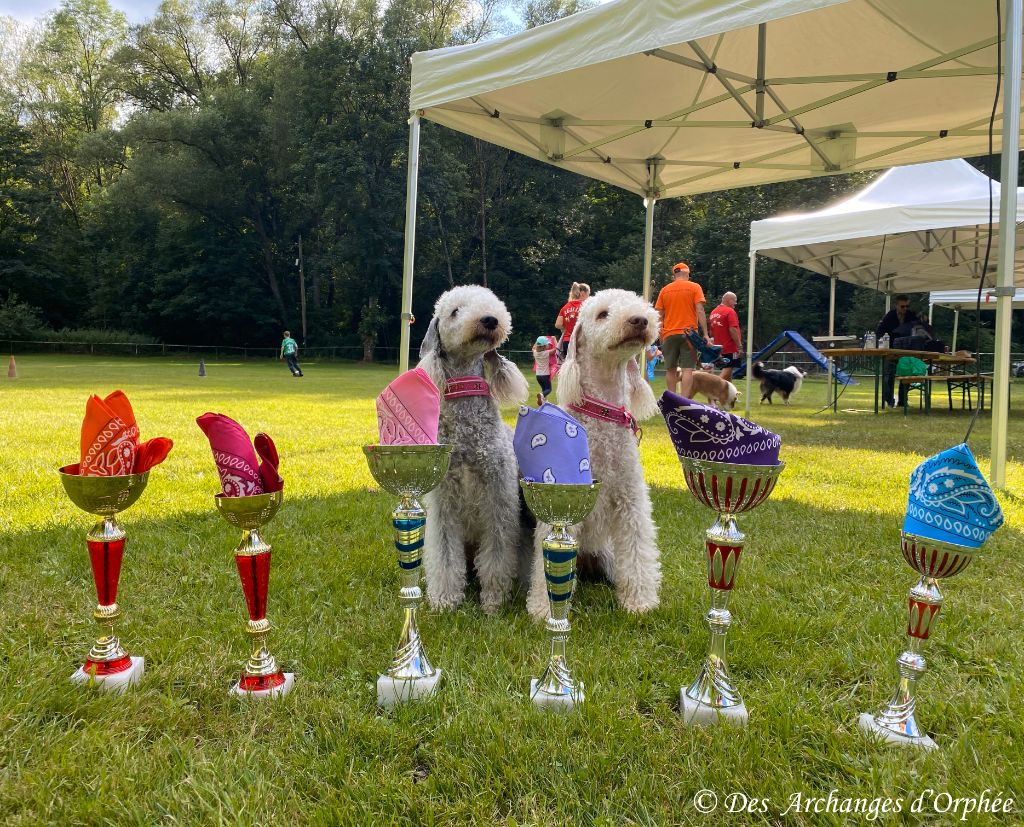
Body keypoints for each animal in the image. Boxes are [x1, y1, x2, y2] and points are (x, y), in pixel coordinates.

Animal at [415, 284, 528, 614]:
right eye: (455, 311)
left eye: (494, 305)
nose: (490, 320)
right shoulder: (444, 504)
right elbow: (444, 555)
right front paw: (445, 600)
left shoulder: (498, 500)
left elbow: (497, 556)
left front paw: (493, 602)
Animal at [528, 286, 663, 618]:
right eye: (602, 314)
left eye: (639, 305)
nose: (640, 320)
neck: (601, 414)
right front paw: (543, 609)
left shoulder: (630, 500)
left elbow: (638, 549)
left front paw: (639, 602)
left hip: (609, 557)